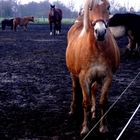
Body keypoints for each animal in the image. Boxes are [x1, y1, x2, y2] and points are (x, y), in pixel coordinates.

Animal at [65, 0, 119, 136]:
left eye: (108, 7)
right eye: (90, 8)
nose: (100, 32)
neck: (97, 48)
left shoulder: (107, 77)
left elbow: (103, 101)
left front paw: (103, 127)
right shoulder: (84, 78)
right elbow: (86, 102)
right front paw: (85, 128)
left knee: (94, 90)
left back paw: (94, 112)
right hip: (73, 75)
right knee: (75, 89)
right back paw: (73, 109)